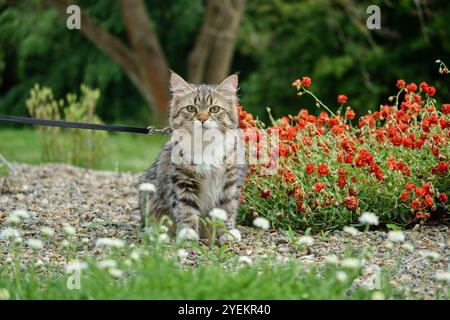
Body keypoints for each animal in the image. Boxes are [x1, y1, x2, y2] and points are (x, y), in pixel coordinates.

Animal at [139, 72, 248, 242]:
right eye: (191, 108)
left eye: (214, 109)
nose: (202, 119)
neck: (205, 145)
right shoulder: (182, 181)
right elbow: (187, 210)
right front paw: (188, 235)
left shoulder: (229, 182)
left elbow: (227, 209)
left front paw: (227, 233)